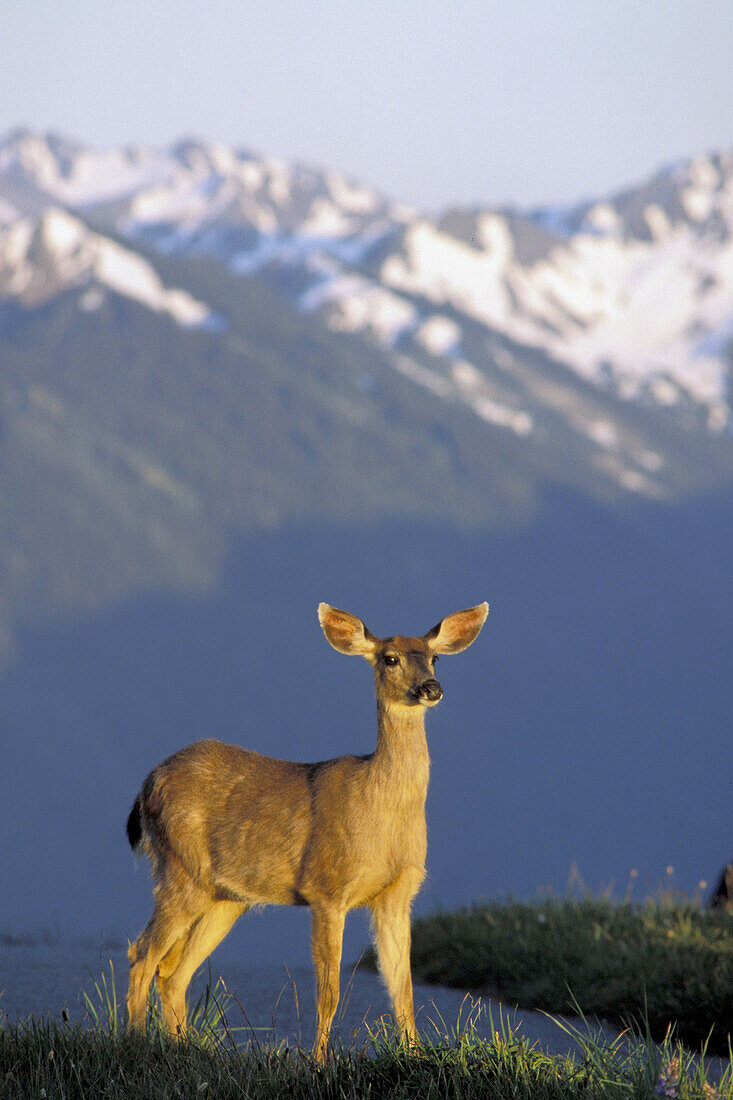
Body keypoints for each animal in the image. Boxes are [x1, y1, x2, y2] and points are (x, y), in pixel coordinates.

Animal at [125, 602, 488, 1056]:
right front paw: (319, 1062)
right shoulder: (326, 887)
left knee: (172, 972)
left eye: (434, 657)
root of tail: (147, 783)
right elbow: (328, 993)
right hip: (180, 869)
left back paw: (184, 1047)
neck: (379, 813)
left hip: (224, 896)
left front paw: (415, 1055)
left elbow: (402, 990)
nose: (430, 687)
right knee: (141, 956)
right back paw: (136, 1044)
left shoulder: (397, 895)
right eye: (390, 658)